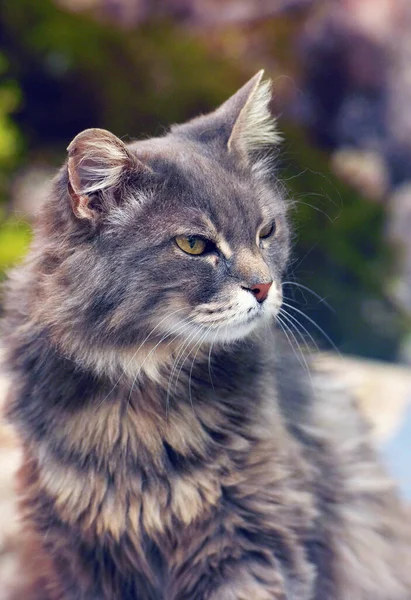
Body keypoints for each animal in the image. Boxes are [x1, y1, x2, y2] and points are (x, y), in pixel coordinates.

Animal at [3, 71, 411, 600]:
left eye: (266, 231)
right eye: (194, 245)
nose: (263, 286)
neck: (138, 394)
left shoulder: (257, 541)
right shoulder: (78, 555)